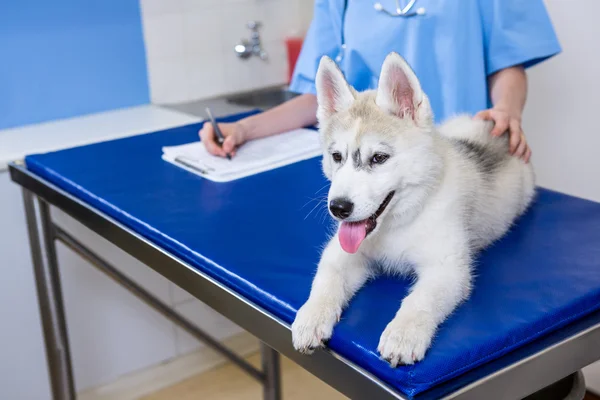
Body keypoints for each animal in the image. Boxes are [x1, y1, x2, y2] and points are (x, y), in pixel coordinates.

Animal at [290, 52, 536, 366]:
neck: (398, 222)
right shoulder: (342, 253)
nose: (339, 208)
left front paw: (403, 334)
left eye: (379, 158)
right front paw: (311, 316)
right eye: (336, 157)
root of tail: (493, 133)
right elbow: (326, 280)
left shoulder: (447, 268)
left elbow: (419, 300)